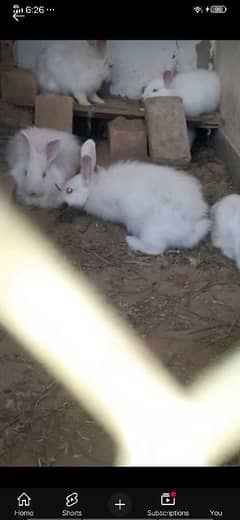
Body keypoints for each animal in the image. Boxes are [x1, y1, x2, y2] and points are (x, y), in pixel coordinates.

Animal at [58, 137, 210, 253]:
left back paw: (131, 241)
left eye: (69, 190)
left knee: (156, 249)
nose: (61, 201)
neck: (92, 189)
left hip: (151, 230)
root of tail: (192, 227)